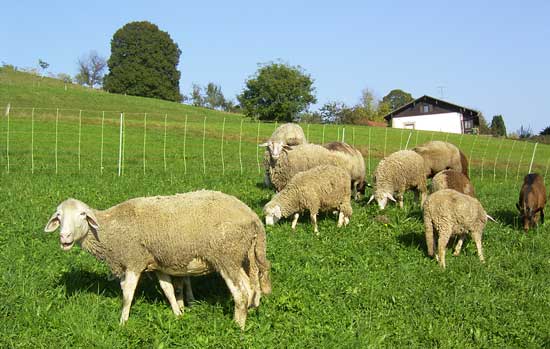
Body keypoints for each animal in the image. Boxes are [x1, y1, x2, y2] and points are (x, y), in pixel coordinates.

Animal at [44, 190, 272, 328]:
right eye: (58, 216)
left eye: (83, 214)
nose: (64, 237)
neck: (110, 231)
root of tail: (252, 216)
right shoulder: (158, 264)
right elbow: (168, 290)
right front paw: (178, 314)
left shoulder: (134, 261)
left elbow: (127, 295)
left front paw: (122, 322)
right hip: (242, 256)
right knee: (251, 288)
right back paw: (249, 312)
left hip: (227, 257)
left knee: (242, 293)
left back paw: (238, 326)